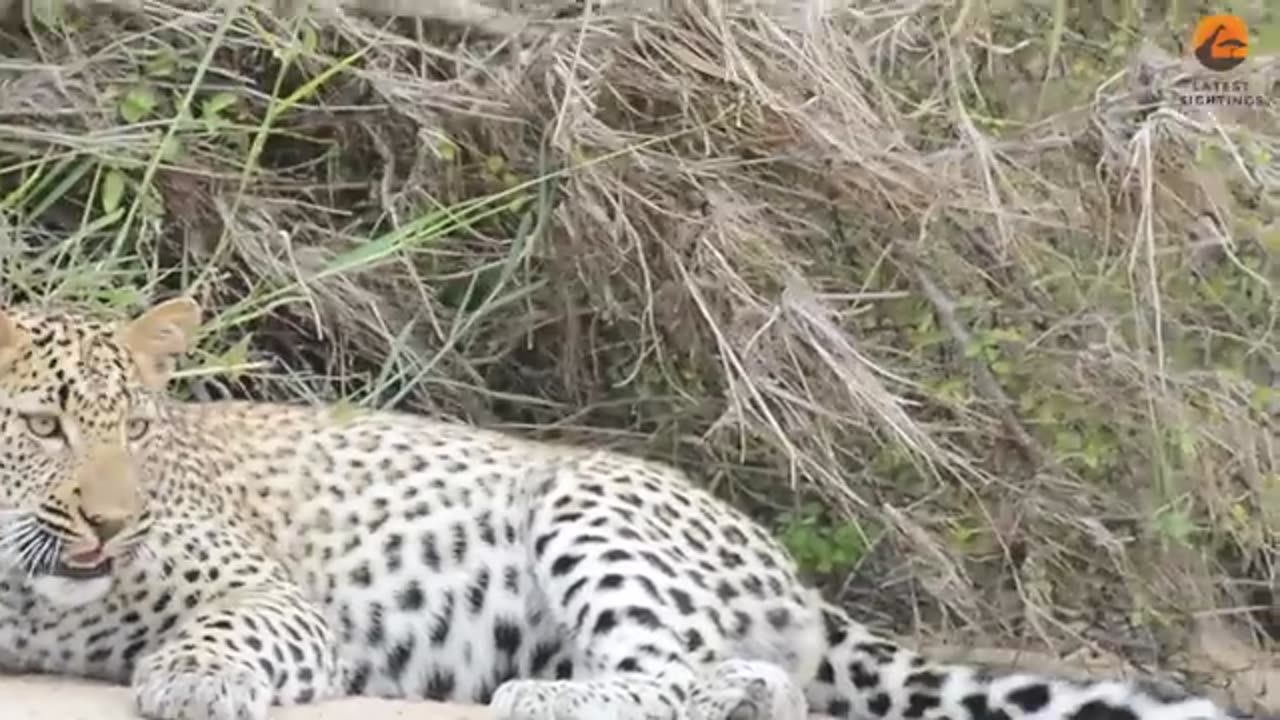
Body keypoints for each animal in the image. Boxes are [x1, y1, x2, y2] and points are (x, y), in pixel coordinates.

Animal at [0, 294, 1239, 712]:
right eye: (46, 426)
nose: (113, 523)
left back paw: (541, 701)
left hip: (592, 506)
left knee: (695, 674)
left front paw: (194, 681)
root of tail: (790, 572)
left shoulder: (270, 591)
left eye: (137, 431)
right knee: (750, 686)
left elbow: (230, 628)